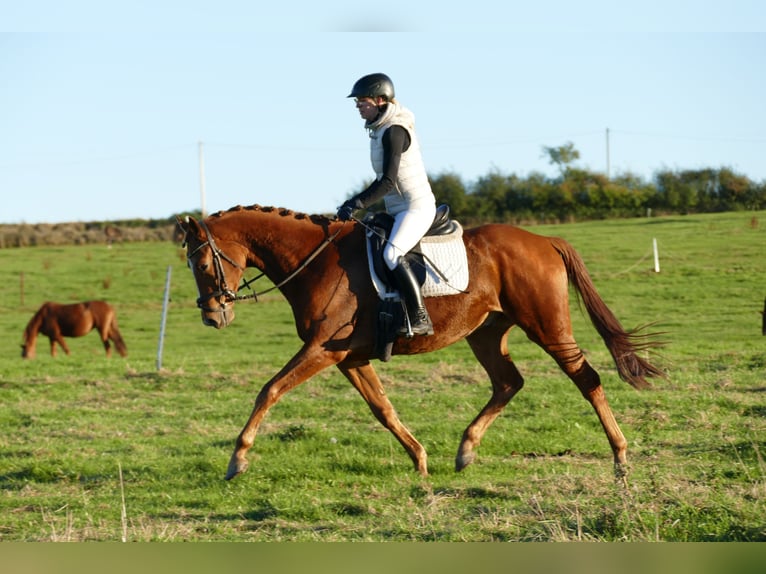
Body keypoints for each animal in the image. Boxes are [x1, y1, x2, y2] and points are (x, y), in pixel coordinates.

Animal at [178, 204, 665, 483]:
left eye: (201, 263)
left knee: (587, 378)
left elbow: (270, 389)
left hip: (547, 327)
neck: (314, 262)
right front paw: (420, 460)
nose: (212, 316)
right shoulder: (347, 357)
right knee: (508, 382)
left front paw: (237, 460)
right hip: (486, 333)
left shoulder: (323, 350)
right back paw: (465, 450)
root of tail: (544, 240)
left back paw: (620, 458)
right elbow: (383, 409)